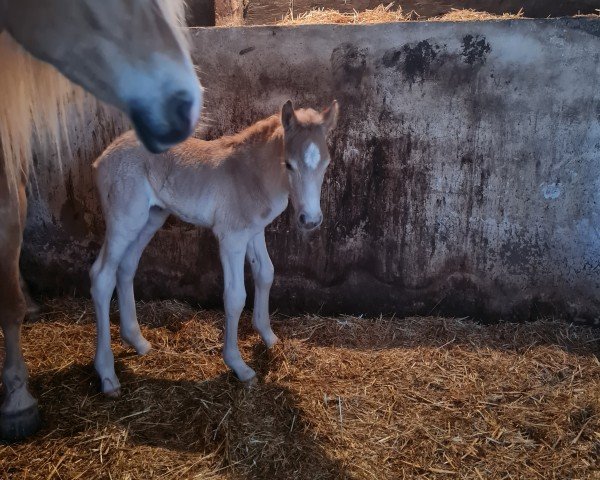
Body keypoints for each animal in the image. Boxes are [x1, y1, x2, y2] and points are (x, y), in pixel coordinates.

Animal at [0, 0, 204, 440]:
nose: (183, 108)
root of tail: (100, 160)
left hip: (148, 219)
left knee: (124, 267)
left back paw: (137, 341)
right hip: (127, 219)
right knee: (101, 275)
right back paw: (107, 374)